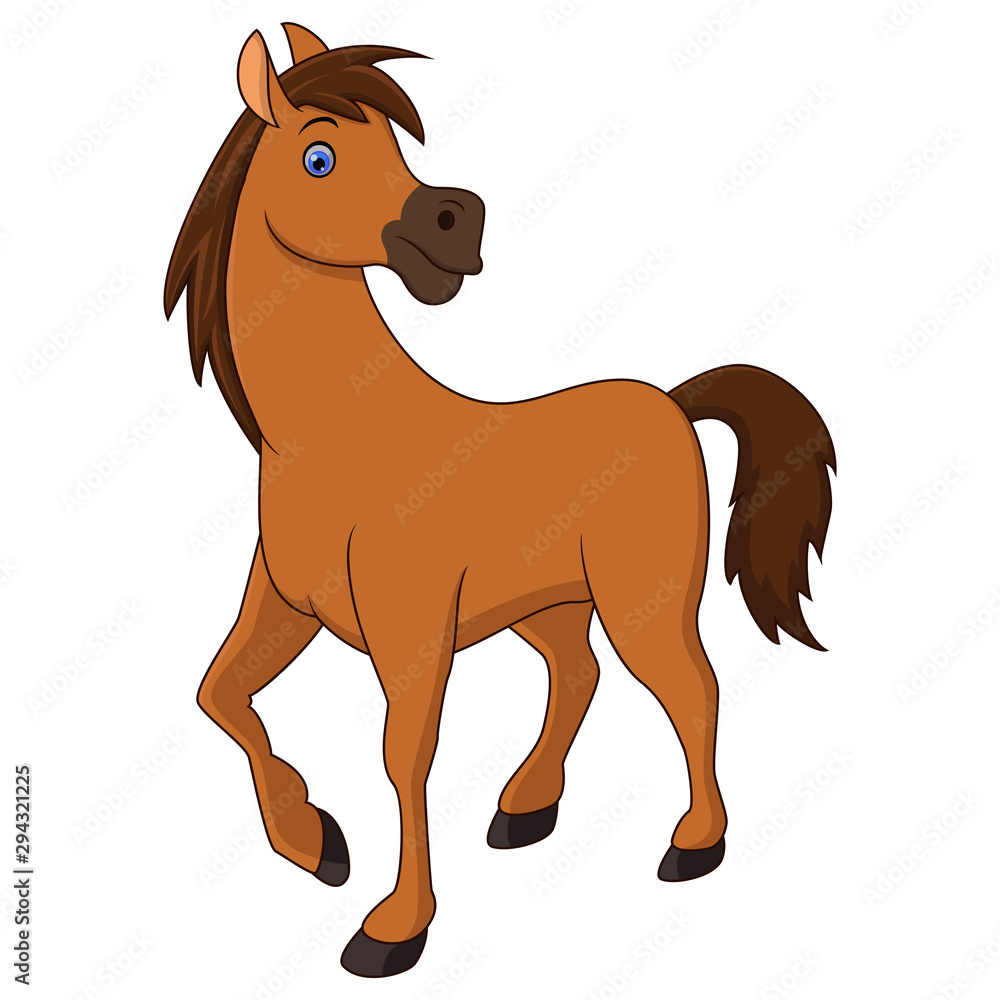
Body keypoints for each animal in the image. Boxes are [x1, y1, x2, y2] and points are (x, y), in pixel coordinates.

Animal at [164, 22, 835, 978]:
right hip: (548, 602)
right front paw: (313, 841)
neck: (336, 437)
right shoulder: (287, 608)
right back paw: (526, 809)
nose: (457, 220)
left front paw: (392, 930)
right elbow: (220, 695)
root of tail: (673, 403)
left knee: (691, 689)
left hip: (641, 601)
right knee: (579, 673)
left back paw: (694, 844)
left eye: (395, 144)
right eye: (319, 156)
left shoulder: (410, 636)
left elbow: (403, 758)